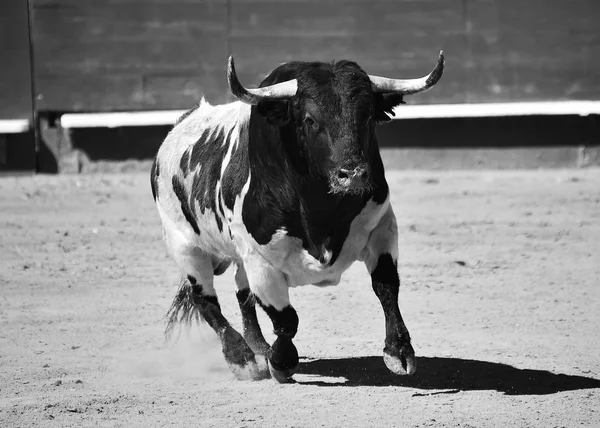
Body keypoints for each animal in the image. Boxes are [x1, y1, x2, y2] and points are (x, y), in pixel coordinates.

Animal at [149, 51, 442, 382]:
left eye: (367, 116)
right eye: (310, 120)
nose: (353, 174)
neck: (321, 207)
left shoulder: (381, 227)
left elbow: (386, 287)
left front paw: (399, 352)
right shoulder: (260, 261)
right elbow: (286, 318)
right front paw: (281, 362)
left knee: (242, 293)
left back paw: (259, 348)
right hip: (185, 247)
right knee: (205, 299)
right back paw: (243, 359)